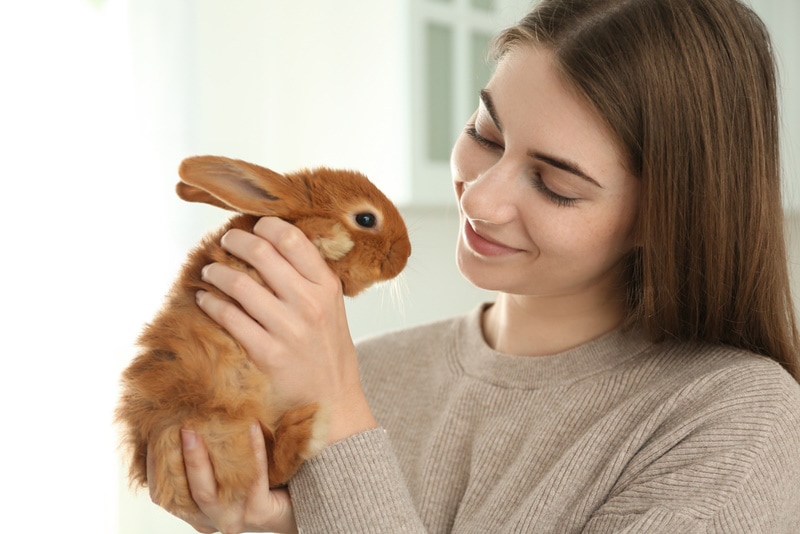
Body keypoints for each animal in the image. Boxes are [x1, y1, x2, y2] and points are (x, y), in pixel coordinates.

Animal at [115, 156, 410, 524]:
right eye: (366, 218)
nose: (405, 254)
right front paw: (334, 237)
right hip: (223, 431)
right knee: (268, 470)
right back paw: (305, 428)